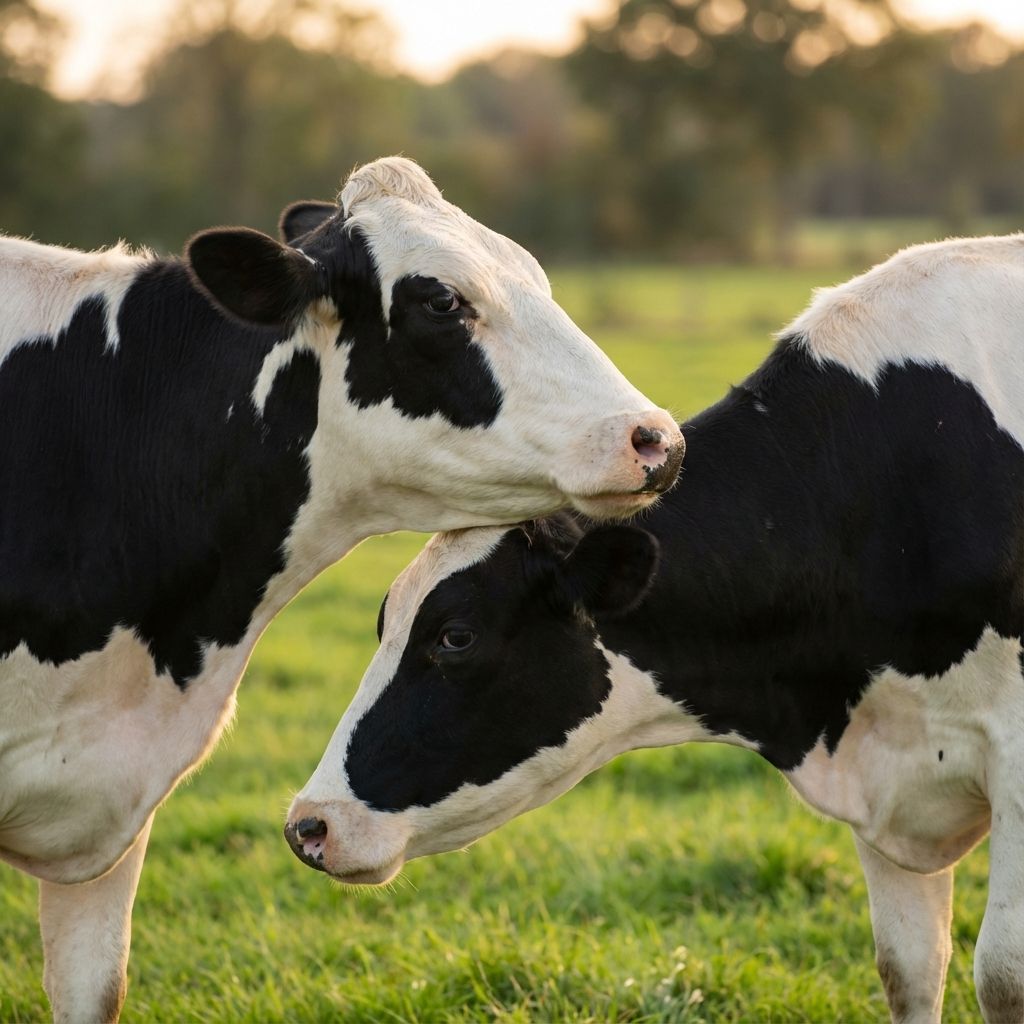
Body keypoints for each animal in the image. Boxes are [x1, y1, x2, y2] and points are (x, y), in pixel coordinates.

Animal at [288, 233, 1024, 1024]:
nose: (309, 825)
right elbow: (907, 969)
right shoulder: (880, 769)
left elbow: (1002, 974)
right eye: (385, 622)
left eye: (455, 636)